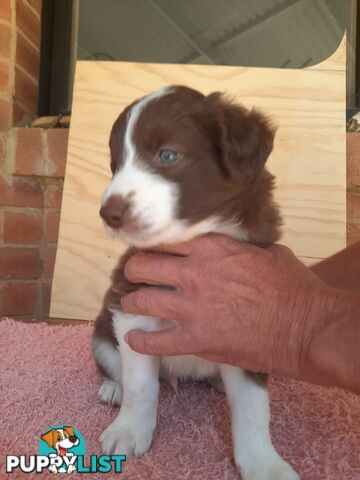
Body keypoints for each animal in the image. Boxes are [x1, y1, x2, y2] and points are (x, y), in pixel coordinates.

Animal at [92, 86, 298, 480]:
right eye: (115, 165)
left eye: (167, 155)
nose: (108, 214)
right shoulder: (132, 305)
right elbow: (140, 386)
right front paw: (128, 431)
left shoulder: (250, 321)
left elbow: (254, 407)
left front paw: (264, 463)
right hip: (101, 334)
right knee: (116, 366)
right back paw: (113, 388)